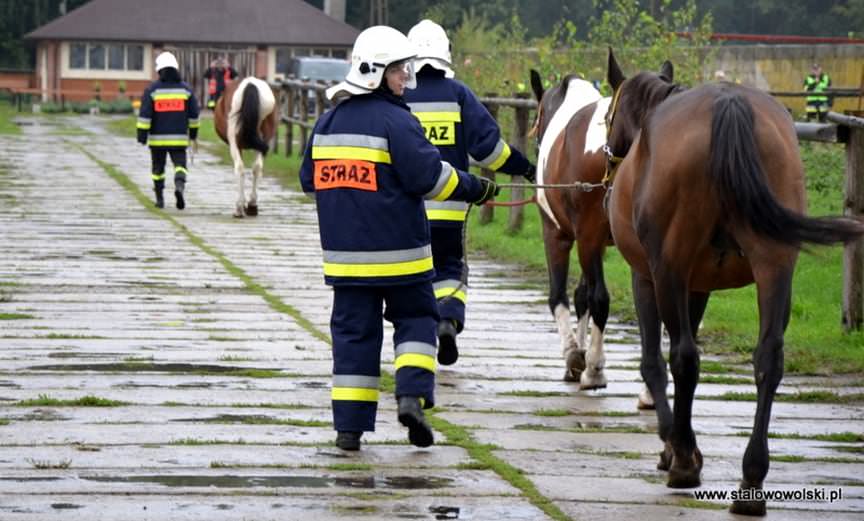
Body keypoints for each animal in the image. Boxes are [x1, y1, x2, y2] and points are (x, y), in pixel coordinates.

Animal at [213, 75, 276, 217]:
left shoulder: (237, 145)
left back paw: (239, 208)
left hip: (234, 140)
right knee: (257, 167)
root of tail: (250, 85)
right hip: (264, 137)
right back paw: (252, 205)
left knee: (240, 167)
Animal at [604, 50, 864, 512]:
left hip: (670, 267)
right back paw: (751, 478)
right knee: (768, 359)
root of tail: (729, 104)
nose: (607, 160)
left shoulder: (649, 278)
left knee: (684, 358)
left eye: (608, 115)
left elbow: (656, 362)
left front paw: (676, 447)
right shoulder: (699, 284)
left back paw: (686, 464)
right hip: (775, 267)